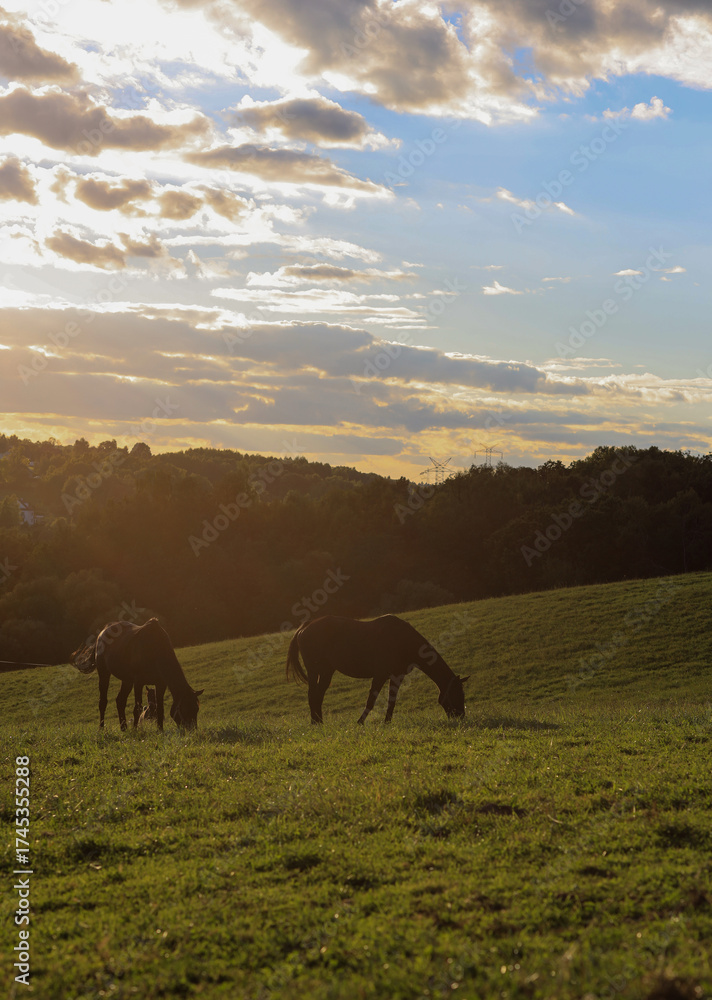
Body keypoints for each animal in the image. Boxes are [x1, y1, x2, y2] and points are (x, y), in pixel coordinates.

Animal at [71, 618, 203, 731]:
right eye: (185, 709)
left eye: (196, 709)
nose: (192, 730)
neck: (155, 649)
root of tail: (103, 632)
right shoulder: (138, 683)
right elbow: (137, 709)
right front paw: (136, 730)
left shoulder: (160, 684)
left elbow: (160, 709)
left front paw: (160, 730)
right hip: (104, 673)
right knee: (103, 702)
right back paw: (102, 728)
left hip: (127, 680)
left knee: (120, 701)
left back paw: (123, 728)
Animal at [286, 614, 469, 725]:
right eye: (456, 694)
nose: (460, 717)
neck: (403, 641)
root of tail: (304, 627)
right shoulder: (380, 675)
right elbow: (371, 701)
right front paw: (360, 722)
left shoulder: (397, 676)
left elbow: (391, 701)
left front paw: (387, 722)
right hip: (314, 670)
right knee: (312, 695)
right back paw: (315, 723)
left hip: (327, 671)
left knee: (318, 695)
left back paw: (319, 722)